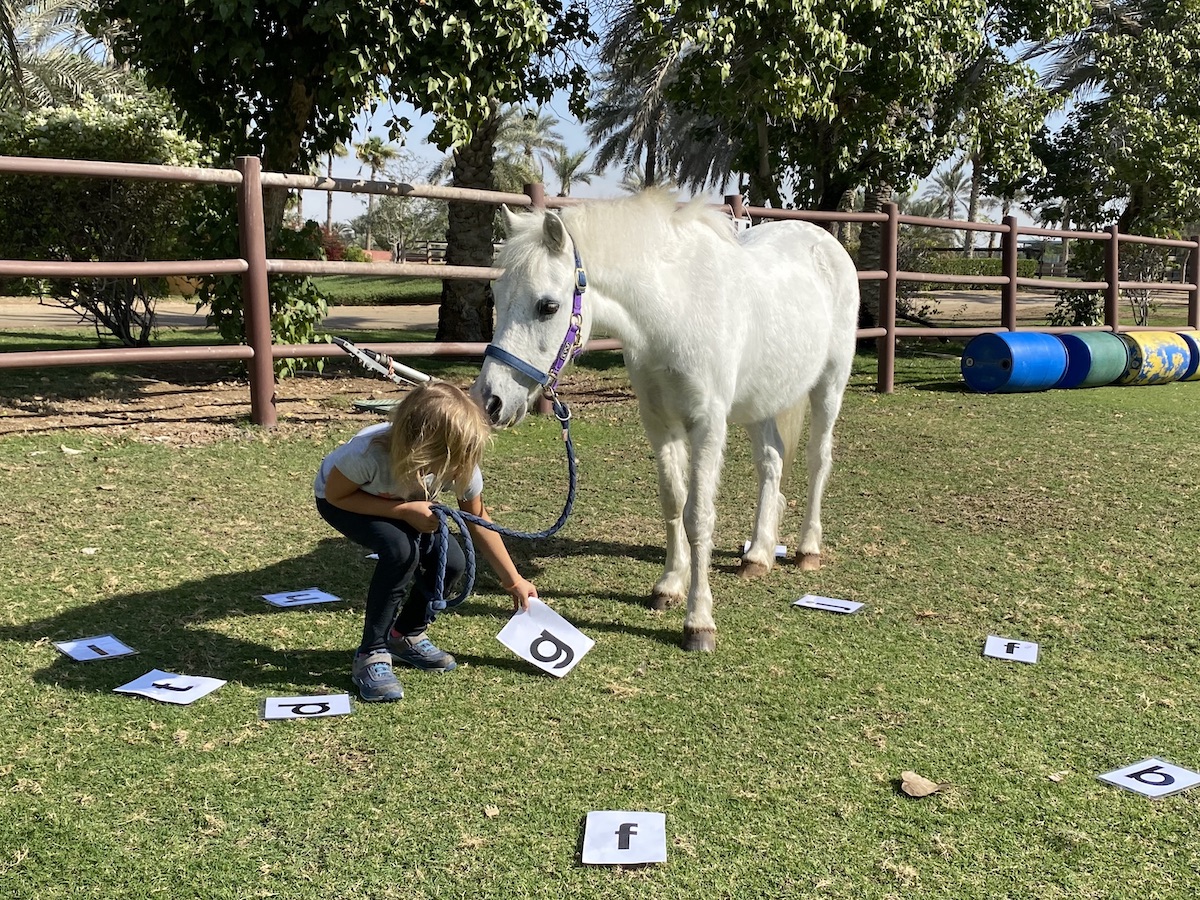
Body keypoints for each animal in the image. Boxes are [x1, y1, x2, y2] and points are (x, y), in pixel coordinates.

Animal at [472, 194, 859, 652]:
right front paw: (670, 585)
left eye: (547, 305)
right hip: (759, 402)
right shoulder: (659, 423)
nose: (490, 400)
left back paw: (807, 549)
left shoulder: (707, 425)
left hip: (829, 385)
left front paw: (699, 621)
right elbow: (673, 502)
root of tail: (823, 240)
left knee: (819, 460)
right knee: (772, 462)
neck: (676, 308)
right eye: (496, 294)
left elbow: (698, 516)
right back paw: (758, 555)